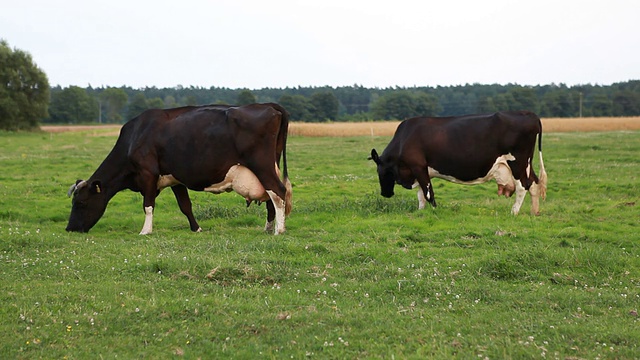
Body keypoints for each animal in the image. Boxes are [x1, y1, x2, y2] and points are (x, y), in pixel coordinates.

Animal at [65, 102, 292, 235]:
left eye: (81, 203)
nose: (69, 228)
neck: (136, 135)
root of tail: (268, 106)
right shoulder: (176, 179)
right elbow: (185, 206)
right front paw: (196, 228)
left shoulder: (148, 174)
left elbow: (148, 205)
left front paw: (145, 231)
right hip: (269, 166)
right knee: (272, 197)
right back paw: (268, 228)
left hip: (262, 165)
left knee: (278, 192)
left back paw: (278, 231)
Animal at [372, 111, 548, 215]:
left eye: (380, 171)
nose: (385, 194)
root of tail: (528, 114)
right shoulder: (422, 170)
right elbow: (421, 194)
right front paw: (420, 212)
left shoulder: (418, 167)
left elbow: (428, 193)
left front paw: (435, 210)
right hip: (527, 164)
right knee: (534, 183)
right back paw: (534, 212)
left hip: (518, 163)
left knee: (523, 186)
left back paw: (514, 211)